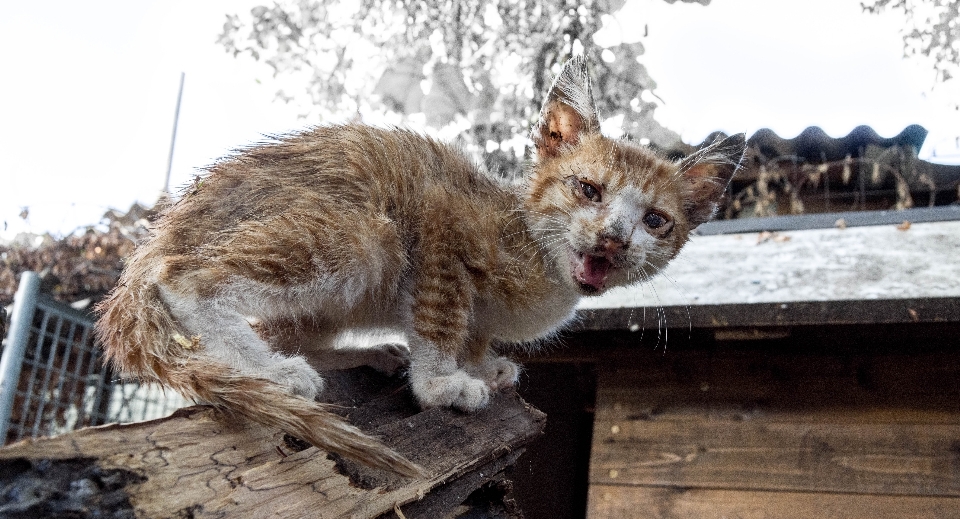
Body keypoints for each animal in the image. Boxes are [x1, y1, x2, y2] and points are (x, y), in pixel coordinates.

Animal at [95, 55, 744, 476]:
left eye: (656, 220)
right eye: (588, 189)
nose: (612, 240)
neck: (541, 259)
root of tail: (161, 233)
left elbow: (473, 333)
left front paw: (483, 365)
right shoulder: (442, 224)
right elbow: (440, 316)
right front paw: (441, 382)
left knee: (288, 329)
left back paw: (361, 353)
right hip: (366, 236)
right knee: (188, 281)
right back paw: (273, 371)